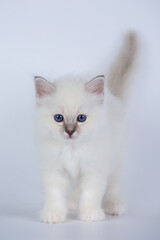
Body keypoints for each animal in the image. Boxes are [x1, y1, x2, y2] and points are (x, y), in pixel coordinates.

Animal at [34, 32, 137, 223]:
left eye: (81, 118)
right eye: (58, 118)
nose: (70, 131)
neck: (72, 149)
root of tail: (110, 94)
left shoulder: (95, 168)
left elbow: (91, 193)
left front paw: (90, 214)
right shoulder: (54, 169)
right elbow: (54, 194)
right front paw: (54, 214)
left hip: (115, 159)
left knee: (114, 184)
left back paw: (114, 205)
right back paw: (72, 202)